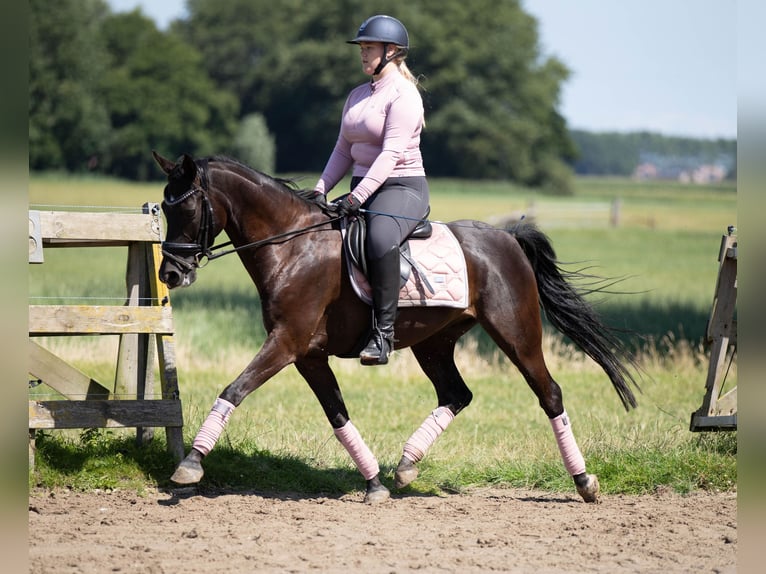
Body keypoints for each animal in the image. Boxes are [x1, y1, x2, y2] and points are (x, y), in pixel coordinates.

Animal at [152, 152, 640, 504]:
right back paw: (406, 465)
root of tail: (508, 238)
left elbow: (233, 389)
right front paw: (374, 483)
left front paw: (191, 464)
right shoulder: (308, 355)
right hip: (434, 343)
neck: (293, 246)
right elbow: (337, 414)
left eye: (188, 207)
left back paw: (583, 481)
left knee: (549, 394)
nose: (170, 274)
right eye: (163, 208)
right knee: (456, 394)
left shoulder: (286, 343)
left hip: (516, 335)